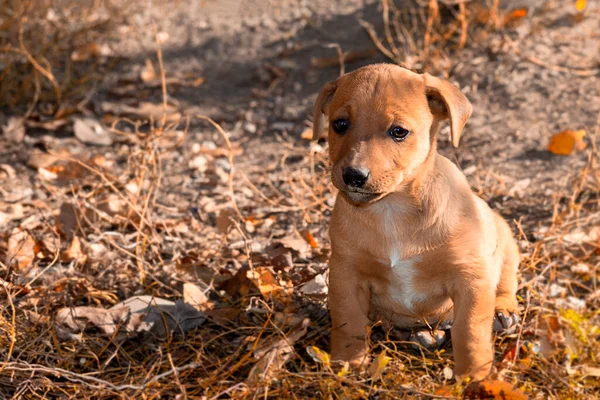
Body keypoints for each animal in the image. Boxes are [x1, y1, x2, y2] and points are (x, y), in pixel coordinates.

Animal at [314, 64, 520, 380]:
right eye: (339, 124)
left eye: (398, 132)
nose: (353, 175)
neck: (392, 211)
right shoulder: (345, 272)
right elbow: (348, 320)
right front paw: (347, 362)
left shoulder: (469, 276)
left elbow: (470, 330)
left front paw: (474, 376)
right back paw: (421, 334)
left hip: (505, 241)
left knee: (505, 284)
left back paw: (502, 311)